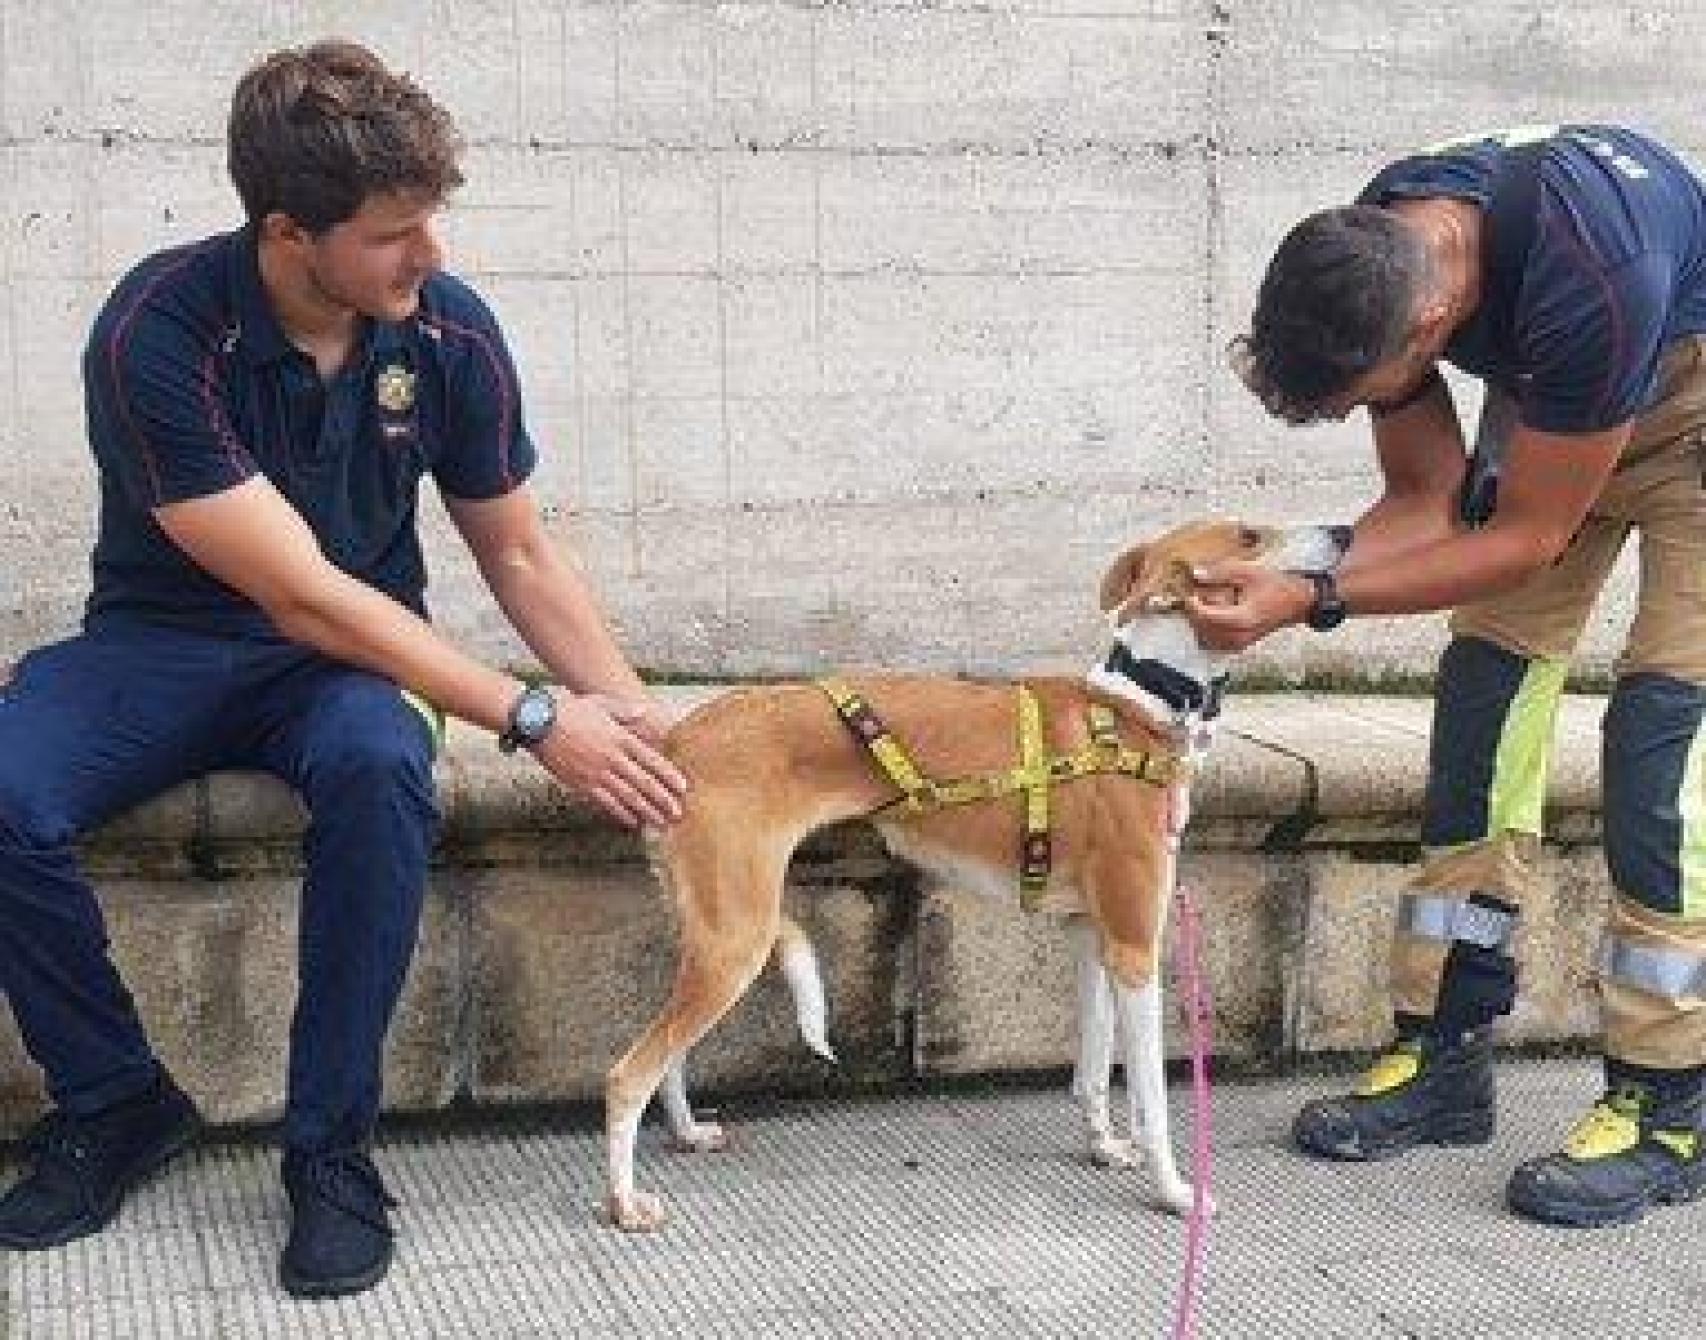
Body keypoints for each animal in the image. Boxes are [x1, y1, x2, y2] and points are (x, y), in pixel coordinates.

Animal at [607, 518, 1351, 1229]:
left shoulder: (1092, 936)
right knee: (627, 1074)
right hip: (736, 939)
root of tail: (679, 738)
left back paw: (686, 1133)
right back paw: (624, 1203)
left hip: (715, 937)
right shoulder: (1136, 947)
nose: (1347, 532)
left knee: (668, 1056)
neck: (1137, 707)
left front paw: (1102, 1146)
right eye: (1250, 535)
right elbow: (1152, 1098)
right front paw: (1175, 1194)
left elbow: (1092, 1066)